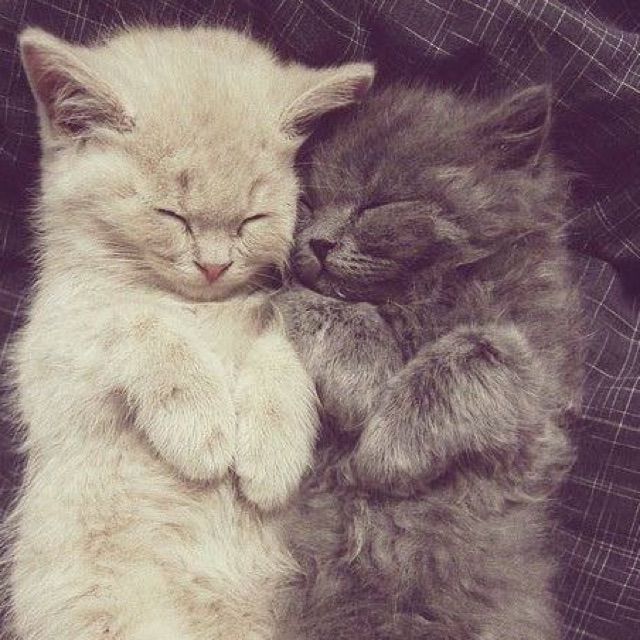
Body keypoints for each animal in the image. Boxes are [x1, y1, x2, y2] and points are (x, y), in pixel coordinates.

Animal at [4, 25, 373, 640]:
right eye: (171, 215)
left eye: (253, 220)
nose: (214, 266)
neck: (198, 306)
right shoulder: (51, 344)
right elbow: (132, 319)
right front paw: (199, 423)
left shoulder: (280, 310)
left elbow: (282, 340)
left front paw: (270, 451)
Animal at [273, 82, 581, 639]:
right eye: (307, 202)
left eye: (380, 204)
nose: (319, 242)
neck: (415, 303)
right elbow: (322, 304)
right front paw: (368, 387)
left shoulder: (539, 378)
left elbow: (476, 352)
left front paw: (384, 449)